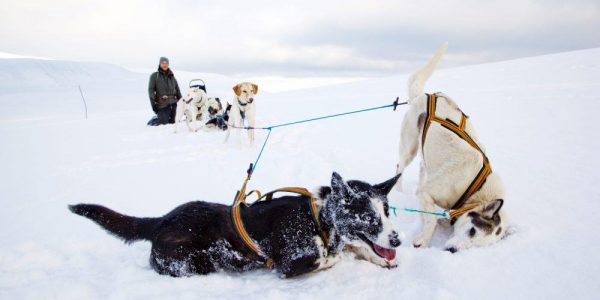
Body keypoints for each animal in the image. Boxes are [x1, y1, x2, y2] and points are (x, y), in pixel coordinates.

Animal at [68, 172, 400, 278]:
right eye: (368, 218)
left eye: (387, 211)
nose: (397, 240)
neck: (317, 218)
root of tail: (161, 220)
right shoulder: (291, 263)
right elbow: (332, 256)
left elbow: (355, 248)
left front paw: (380, 259)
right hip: (194, 262)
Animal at [396, 43, 508, 252]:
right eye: (472, 230)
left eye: (476, 246)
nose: (452, 251)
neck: (475, 189)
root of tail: (424, 95)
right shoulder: (429, 193)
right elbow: (431, 220)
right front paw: (424, 238)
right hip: (409, 147)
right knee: (399, 167)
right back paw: (397, 191)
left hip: (425, 153)